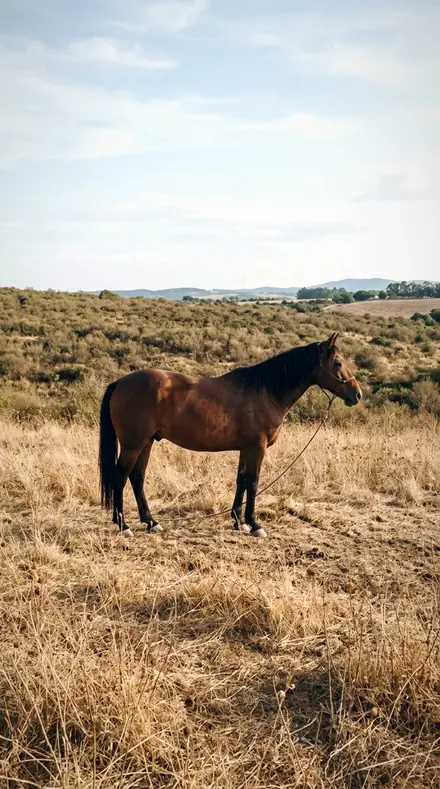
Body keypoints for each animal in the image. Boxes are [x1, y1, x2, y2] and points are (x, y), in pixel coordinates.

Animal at [99, 332, 362, 538]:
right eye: (338, 363)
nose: (357, 394)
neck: (265, 391)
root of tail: (120, 382)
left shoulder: (246, 448)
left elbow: (241, 480)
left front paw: (238, 521)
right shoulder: (257, 448)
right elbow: (253, 482)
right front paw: (255, 525)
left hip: (146, 443)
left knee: (137, 477)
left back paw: (151, 522)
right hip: (133, 444)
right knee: (120, 477)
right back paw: (124, 525)